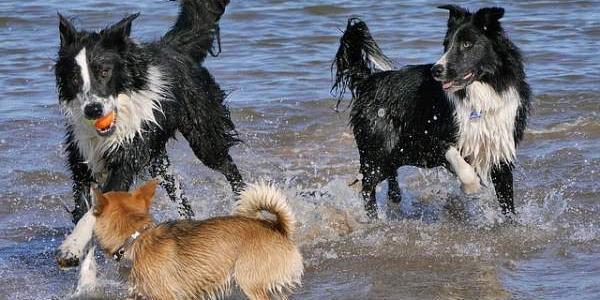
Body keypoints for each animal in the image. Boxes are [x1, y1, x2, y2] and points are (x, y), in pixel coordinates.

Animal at [56, 0, 244, 268]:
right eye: (74, 77)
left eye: (104, 71)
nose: (93, 109)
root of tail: (174, 47)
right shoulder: (82, 160)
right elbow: (83, 206)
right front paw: (77, 251)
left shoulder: (125, 160)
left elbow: (95, 209)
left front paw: (70, 247)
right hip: (157, 160)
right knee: (179, 193)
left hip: (204, 135)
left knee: (228, 166)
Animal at [332, 4, 528, 219]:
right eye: (446, 44)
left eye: (467, 44)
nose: (436, 70)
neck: (479, 96)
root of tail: (367, 81)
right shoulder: (426, 137)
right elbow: (458, 160)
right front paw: (471, 186)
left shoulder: (500, 151)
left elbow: (507, 200)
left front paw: (510, 223)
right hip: (379, 148)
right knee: (368, 186)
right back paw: (374, 219)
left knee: (387, 178)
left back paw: (395, 199)